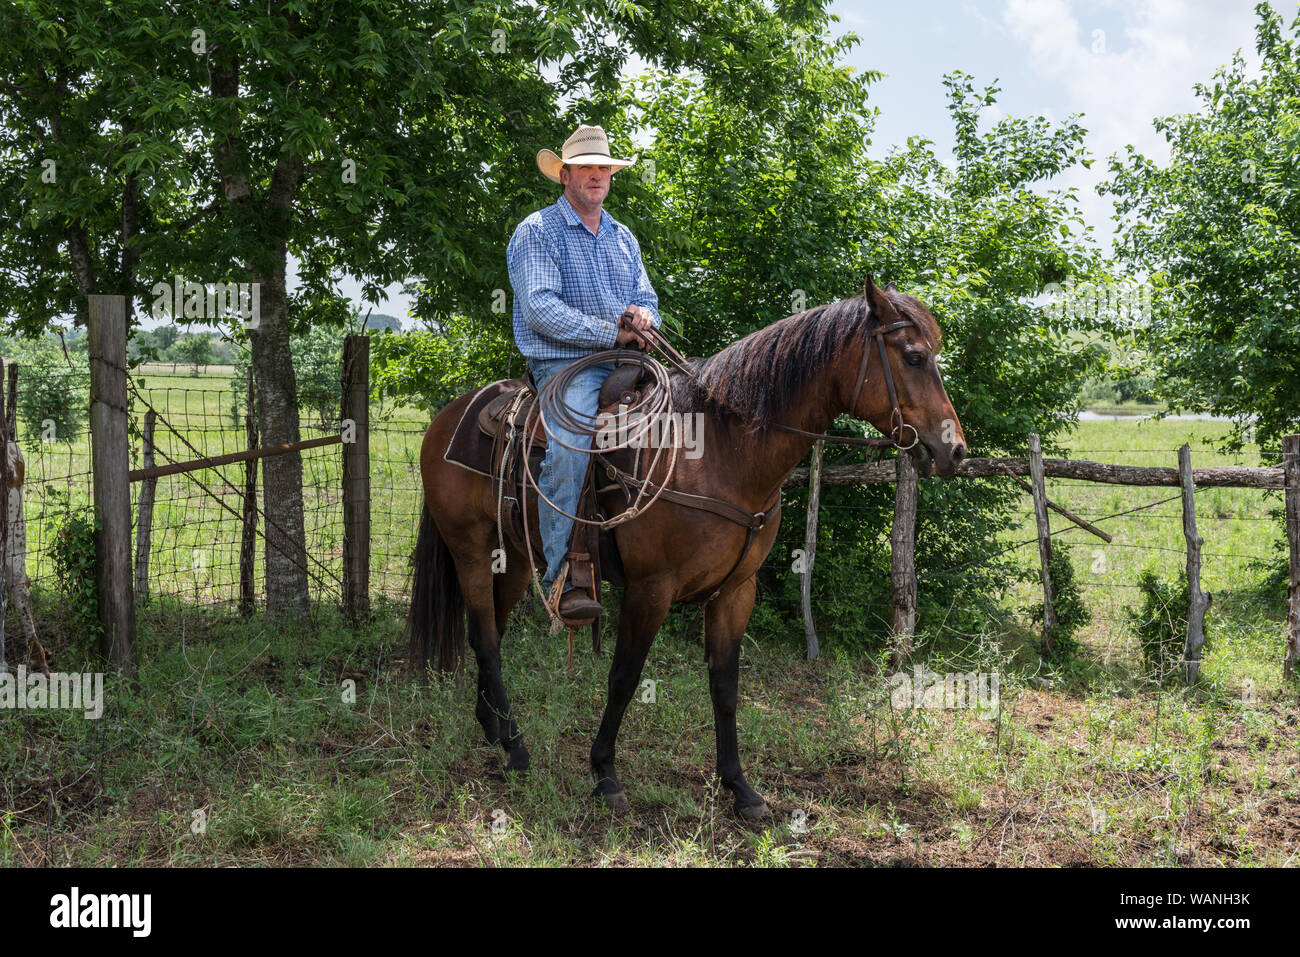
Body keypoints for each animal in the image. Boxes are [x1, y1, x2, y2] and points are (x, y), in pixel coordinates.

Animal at [405, 280, 967, 816]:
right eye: (914, 357)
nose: (955, 450)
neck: (719, 453)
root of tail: (453, 413)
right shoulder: (650, 589)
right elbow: (624, 677)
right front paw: (605, 775)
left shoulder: (736, 591)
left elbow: (725, 687)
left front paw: (740, 788)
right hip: (470, 550)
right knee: (485, 637)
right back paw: (517, 750)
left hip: (515, 558)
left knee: (490, 632)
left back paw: (495, 729)